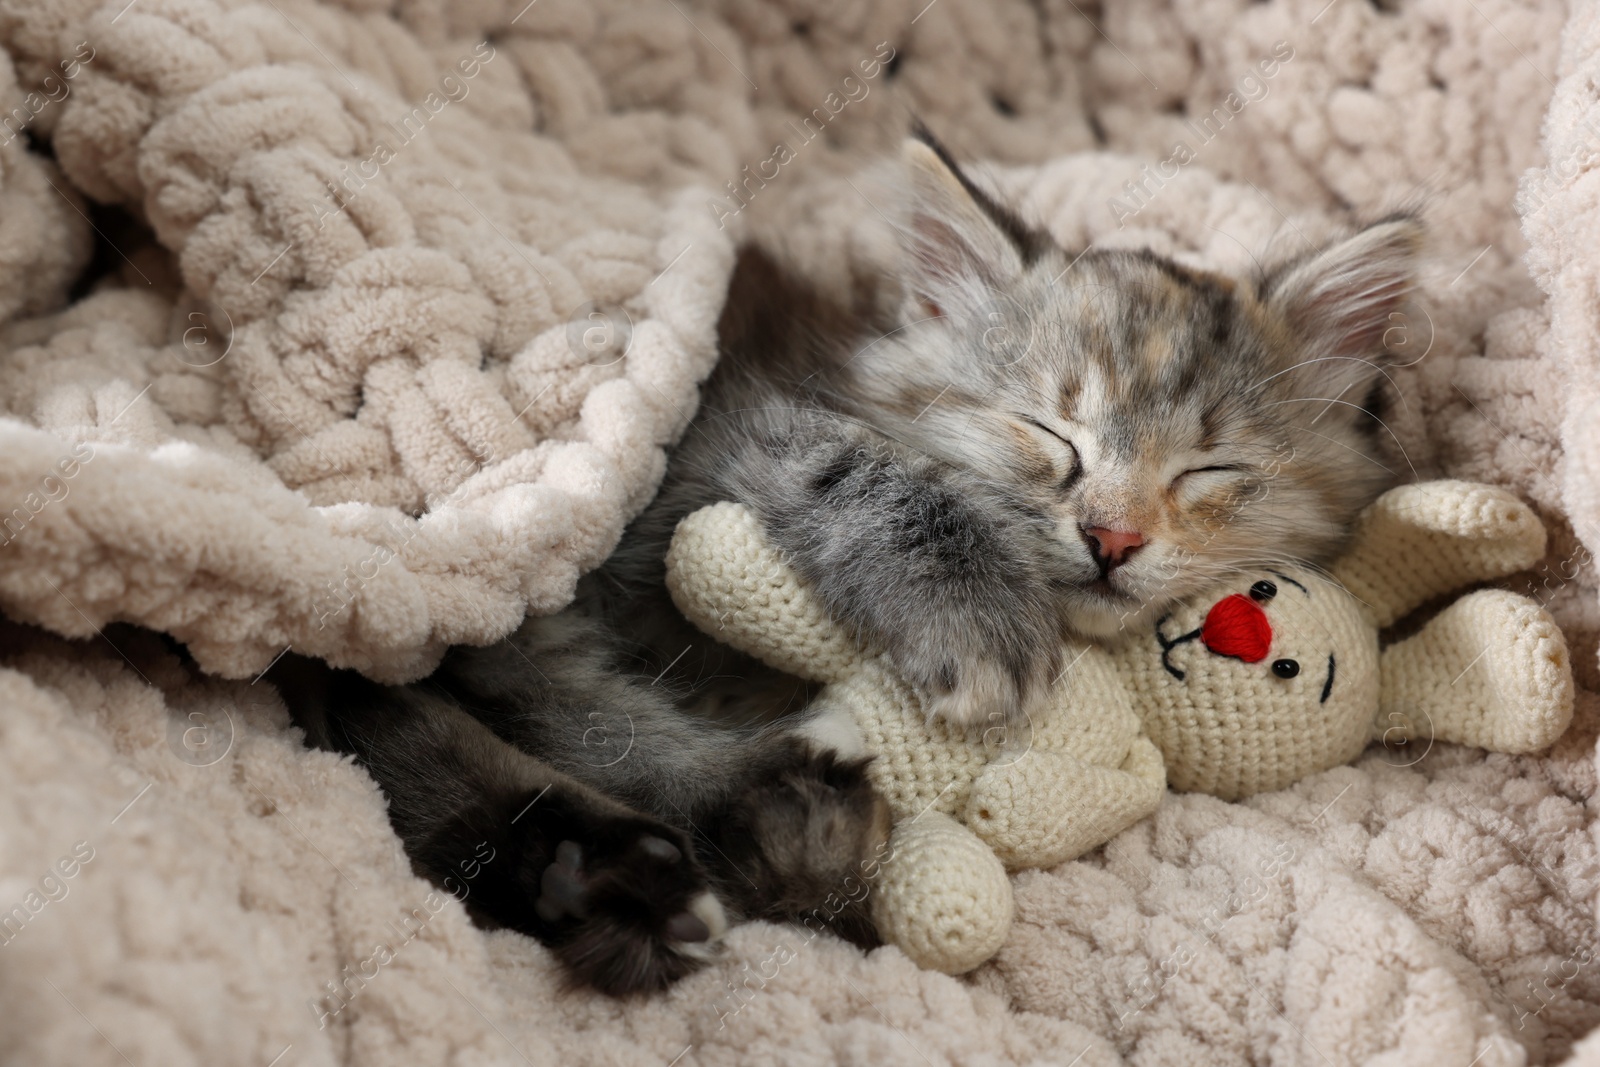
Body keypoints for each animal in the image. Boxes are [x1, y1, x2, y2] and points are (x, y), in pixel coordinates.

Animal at [272, 129, 1414, 998]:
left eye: (1210, 470)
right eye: (1049, 435)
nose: (1112, 538)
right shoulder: (705, 438)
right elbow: (857, 469)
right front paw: (970, 608)